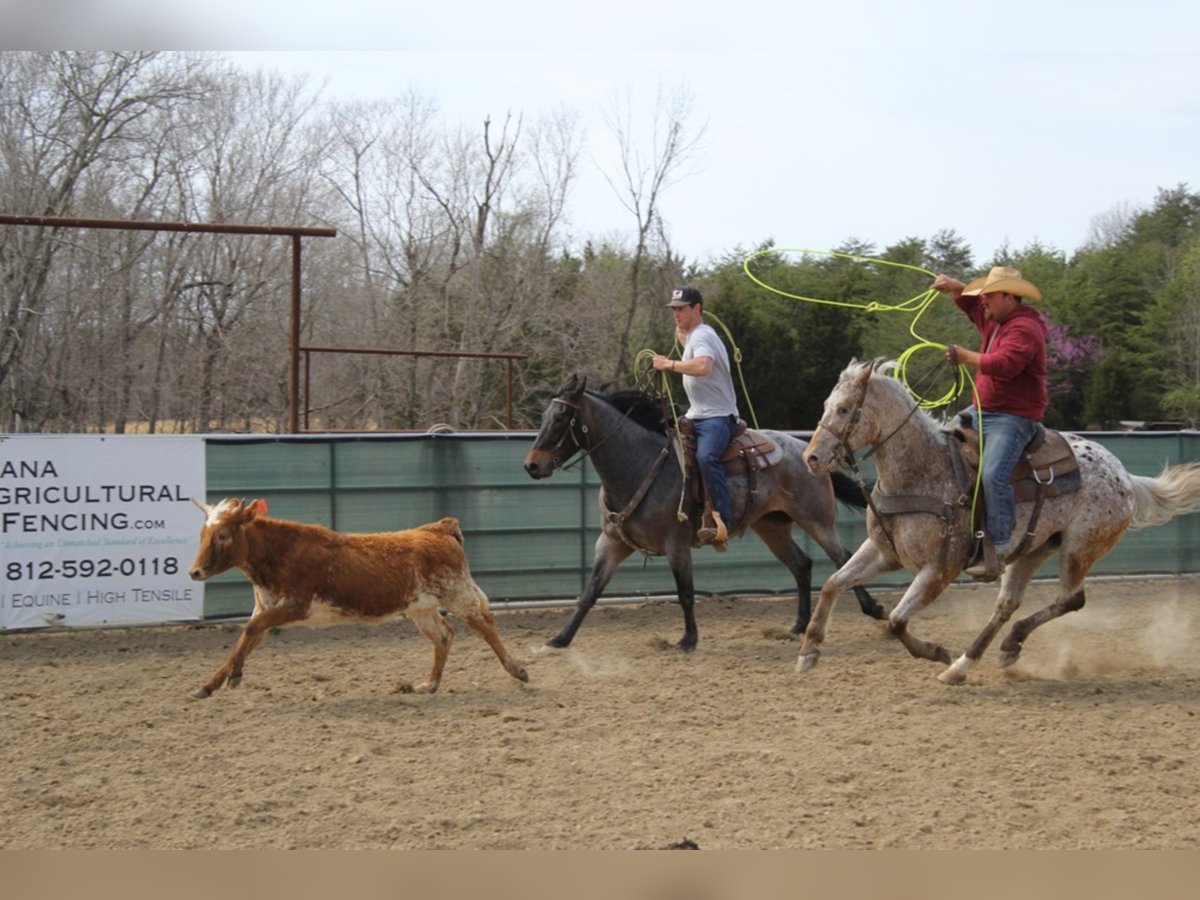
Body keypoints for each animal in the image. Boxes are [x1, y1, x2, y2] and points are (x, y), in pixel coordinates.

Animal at [186, 501, 525, 705]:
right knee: (443, 636)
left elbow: (251, 630)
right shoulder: (268, 609)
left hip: (456, 593)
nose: (194, 572)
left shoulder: (295, 606)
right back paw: (428, 685)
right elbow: (247, 638)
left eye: (223, 534)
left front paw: (228, 679)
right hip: (421, 608)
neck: (278, 553)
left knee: (484, 623)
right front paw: (214, 683)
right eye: (203, 532)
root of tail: (438, 528)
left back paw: (517, 669)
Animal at [520, 376, 888, 652]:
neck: (638, 463)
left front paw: (688, 639)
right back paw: (797, 625)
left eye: (561, 418)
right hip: (771, 527)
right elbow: (589, 592)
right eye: (544, 416)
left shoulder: (676, 544)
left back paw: (873, 609)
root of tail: (807, 452)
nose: (532, 465)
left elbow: (685, 592)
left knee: (843, 559)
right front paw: (560, 639)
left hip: (817, 520)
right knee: (802, 564)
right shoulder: (611, 543)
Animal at [796, 357, 1200, 681]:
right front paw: (809, 651)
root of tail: (1124, 475)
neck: (921, 472)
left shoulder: (938, 571)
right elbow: (833, 583)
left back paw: (982, 653)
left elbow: (896, 620)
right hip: (1032, 551)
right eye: (826, 405)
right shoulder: (884, 552)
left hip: (1079, 549)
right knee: (1007, 605)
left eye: (845, 409)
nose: (811, 458)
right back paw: (973, 661)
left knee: (1072, 599)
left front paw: (935, 651)